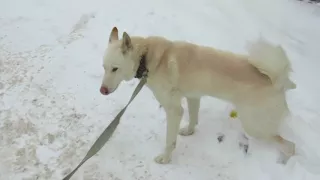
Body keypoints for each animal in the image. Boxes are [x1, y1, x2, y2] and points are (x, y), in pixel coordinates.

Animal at [100, 27, 298, 165]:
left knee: (290, 146)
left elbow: (170, 140)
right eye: (104, 67)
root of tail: (278, 81)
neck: (146, 58)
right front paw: (189, 132)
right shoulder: (193, 96)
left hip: (255, 127)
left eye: (115, 69)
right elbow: (193, 118)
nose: (102, 91)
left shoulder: (174, 110)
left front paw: (165, 159)